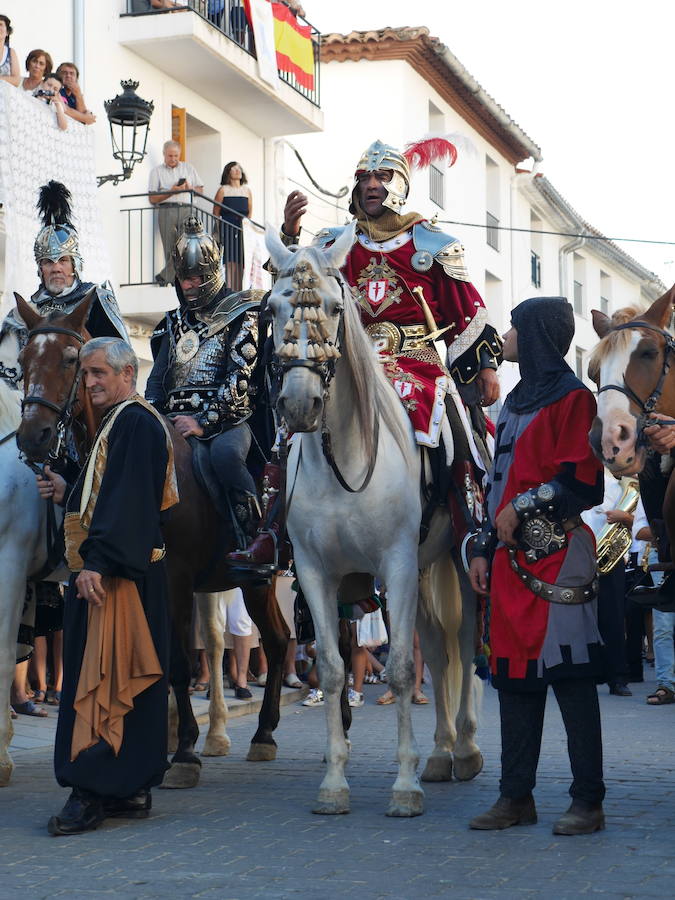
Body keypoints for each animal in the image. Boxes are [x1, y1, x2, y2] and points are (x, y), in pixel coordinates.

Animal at [12, 294, 288, 788]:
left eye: (71, 360)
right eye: (23, 361)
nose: (33, 436)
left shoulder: (174, 577)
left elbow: (177, 660)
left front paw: (184, 754)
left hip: (266, 577)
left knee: (285, 640)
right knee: (260, 641)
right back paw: (253, 734)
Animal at [266, 225, 484, 816]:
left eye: (335, 307)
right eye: (273, 307)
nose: (300, 405)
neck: (344, 457)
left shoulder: (397, 565)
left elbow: (404, 667)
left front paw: (404, 786)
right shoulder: (316, 573)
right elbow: (333, 666)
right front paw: (334, 783)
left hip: (453, 560)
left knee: (463, 644)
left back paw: (465, 748)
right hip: (424, 571)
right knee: (438, 647)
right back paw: (441, 752)